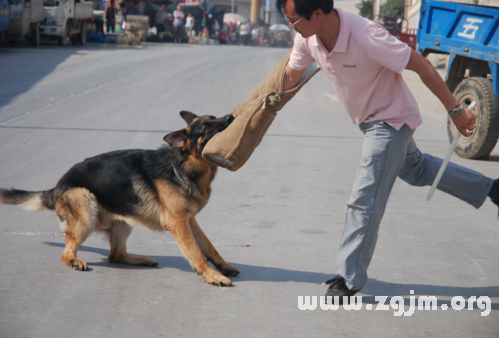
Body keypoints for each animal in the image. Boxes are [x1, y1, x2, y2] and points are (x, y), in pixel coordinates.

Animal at [0, 112, 240, 286]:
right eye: (207, 127)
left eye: (215, 117)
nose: (231, 117)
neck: (182, 165)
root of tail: (57, 187)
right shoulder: (179, 223)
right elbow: (196, 251)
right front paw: (212, 275)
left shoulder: (190, 220)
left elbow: (208, 246)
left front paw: (223, 266)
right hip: (86, 208)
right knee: (67, 252)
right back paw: (75, 261)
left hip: (125, 220)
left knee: (116, 255)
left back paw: (141, 259)